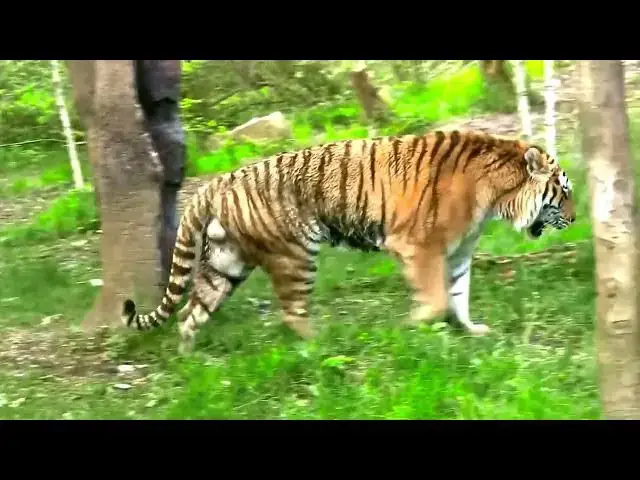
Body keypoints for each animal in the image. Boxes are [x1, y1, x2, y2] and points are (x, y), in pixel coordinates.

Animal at [121, 129, 576, 353]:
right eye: (565, 192)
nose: (575, 220)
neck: (497, 196)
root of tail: (217, 182)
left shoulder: (459, 252)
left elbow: (459, 296)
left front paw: (472, 330)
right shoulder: (419, 246)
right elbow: (436, 298)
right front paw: (410, 327)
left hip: (226, 264)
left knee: (190, 313)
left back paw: (193, 364)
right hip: (296, 255)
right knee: (292, 312)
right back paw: (322, 345)